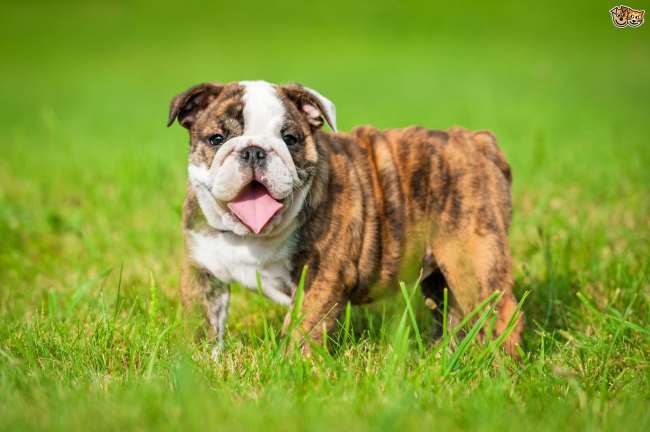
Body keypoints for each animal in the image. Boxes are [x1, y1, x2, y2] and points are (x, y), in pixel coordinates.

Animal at [167, 79, 520, 356]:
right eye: (216, 139)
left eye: (290, 139)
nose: (254, 151)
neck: (251, 236)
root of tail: (477, 140)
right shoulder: (203, 272)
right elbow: (203, 322)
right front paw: (200, 365)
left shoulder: (320, 276)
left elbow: (303, 326)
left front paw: (293, 366)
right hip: (442, 275)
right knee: (454, 313)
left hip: (474, 260)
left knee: (503, 313)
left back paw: (502, 367)